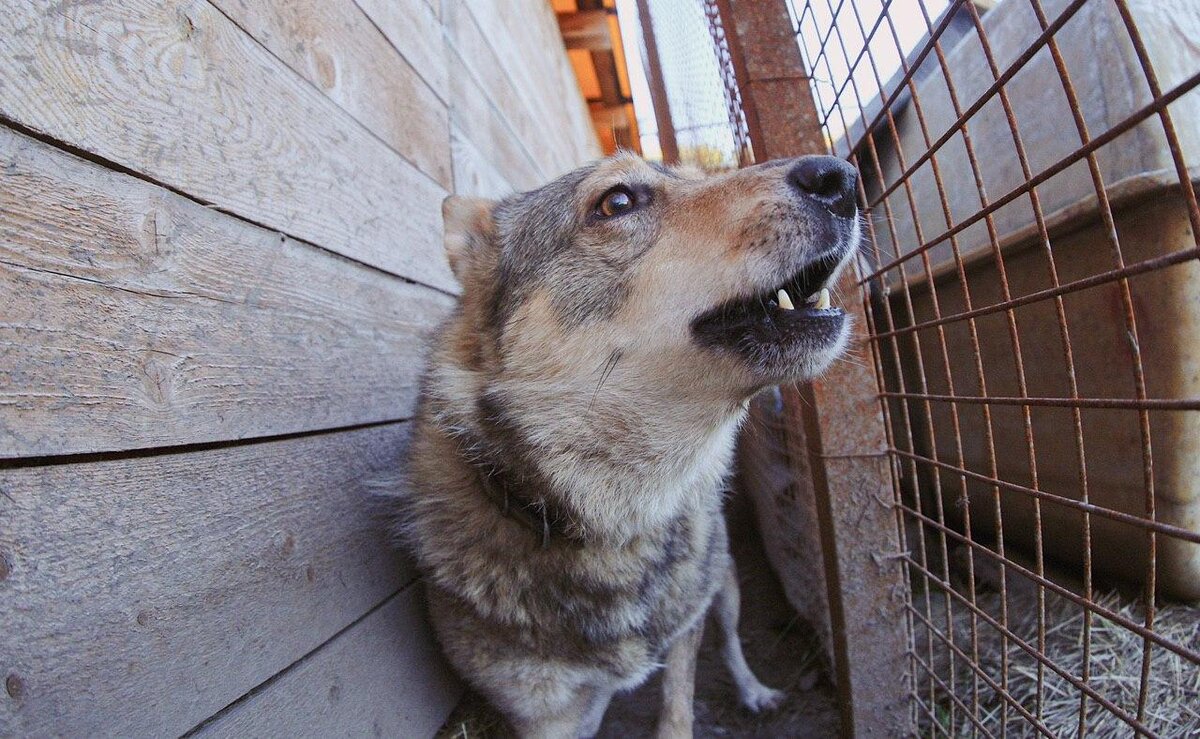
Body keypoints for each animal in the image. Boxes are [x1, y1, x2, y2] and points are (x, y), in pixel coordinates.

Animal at [396, 151, 864, 739]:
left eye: (698, 177)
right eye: (617, 201)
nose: (841, 177)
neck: (618, 522)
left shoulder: (686, 627)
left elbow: (678, 713)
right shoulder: (546, 715)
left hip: (724, 581)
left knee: (732, 641)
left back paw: (754, 690)